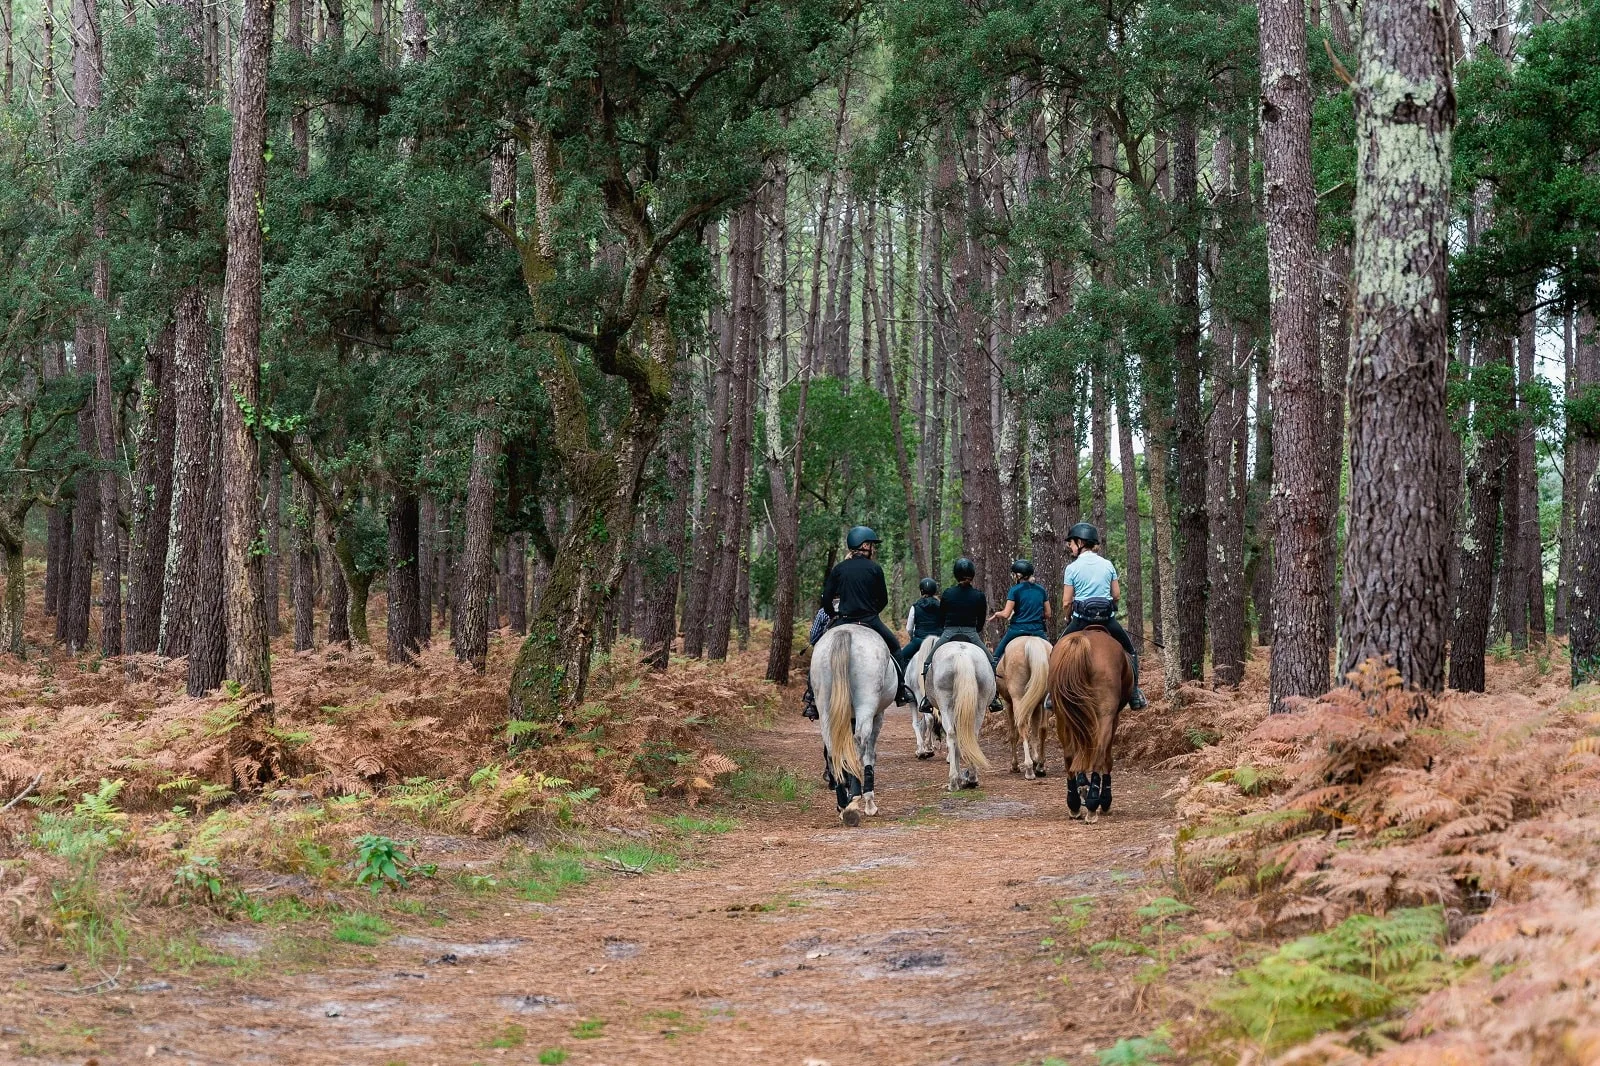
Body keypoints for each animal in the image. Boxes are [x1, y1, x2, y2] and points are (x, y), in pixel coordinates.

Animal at [812, 624, 902, 819]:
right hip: (867, 703)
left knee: (833, 749)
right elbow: (869, 754)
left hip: (824, 705)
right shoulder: (878, 715)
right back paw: (853, 800)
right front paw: (869, 801)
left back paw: (842, 802)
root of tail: (845, 632)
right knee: (859, 743)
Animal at [921, 633, 992, 784]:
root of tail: (962, 655)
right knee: (972, 735)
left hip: (945, 704)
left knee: (951, 734)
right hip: (980, 705)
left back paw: (954, 779)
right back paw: (972, 778)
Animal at [1043, 627, 1132, 816]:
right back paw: (1094, 801)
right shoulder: (1113, 718)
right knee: (1099, 752)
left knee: (1070, 755)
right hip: (1105, 716)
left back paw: (1074, 803)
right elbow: (1106, 758)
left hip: (1063, 715)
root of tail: (1082, 641)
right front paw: (1103, 798)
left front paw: (1082, 784)